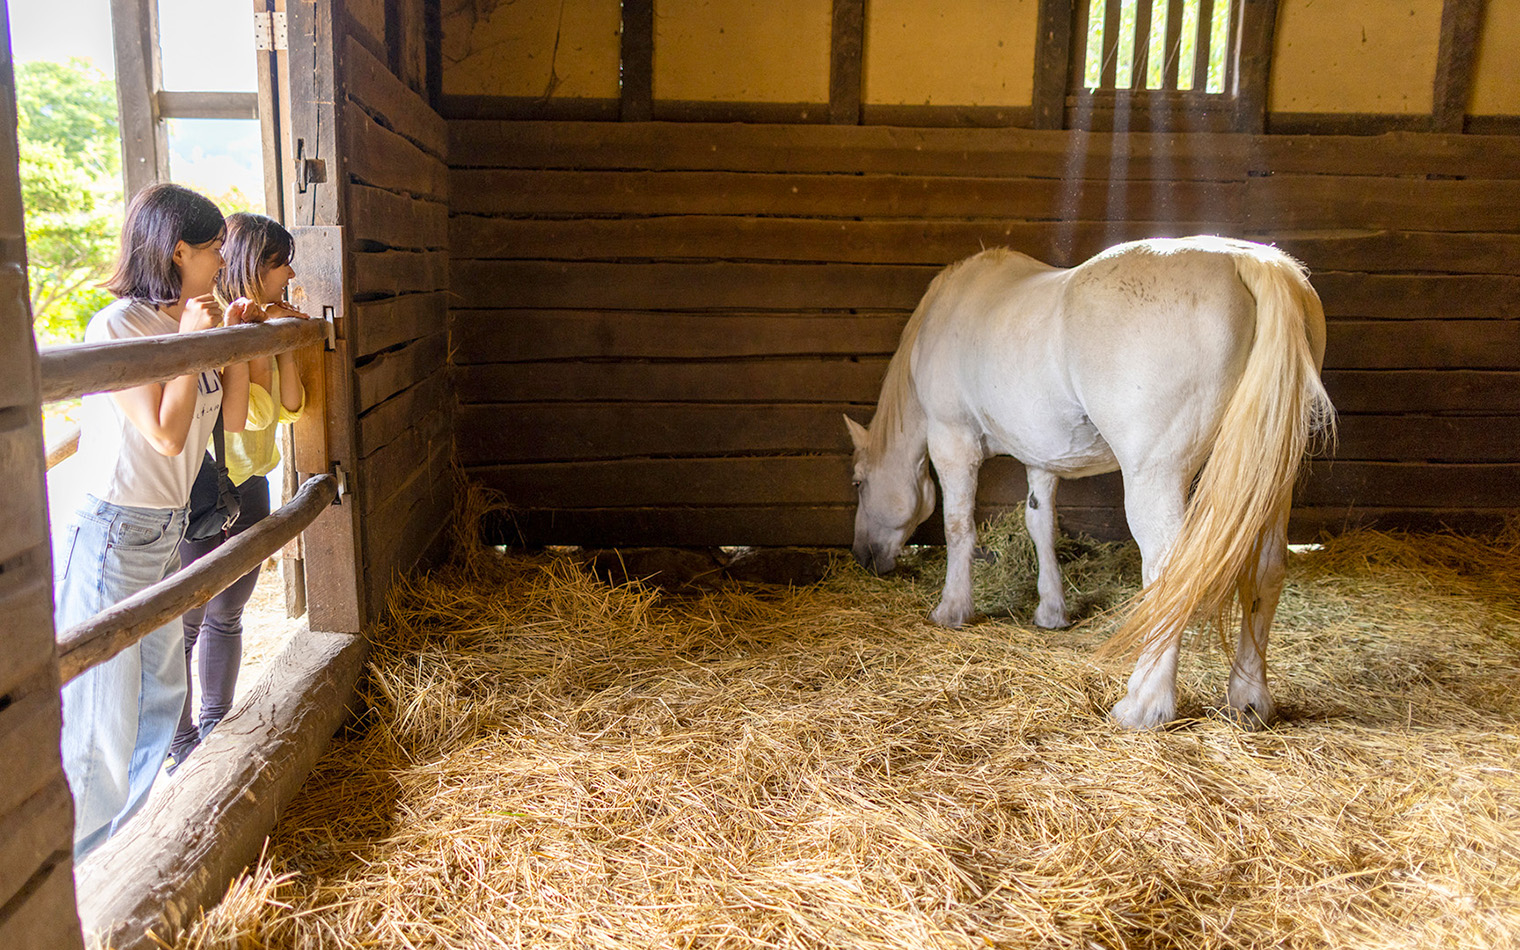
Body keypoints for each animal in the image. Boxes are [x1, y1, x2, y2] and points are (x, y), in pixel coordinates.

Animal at [851, 235, 1337, 726]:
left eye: (857, 482)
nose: (862, 557)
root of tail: (1248, 261)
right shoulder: (1041, 458)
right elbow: (1040, 526)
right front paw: (1051, 610)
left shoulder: (953, 442)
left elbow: (958, 528)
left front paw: (952, 608)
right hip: (1269, 481)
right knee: (1266, 569)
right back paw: (1248, 699)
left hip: (1157, 478)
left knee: (1172, 573)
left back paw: (1145, 703)